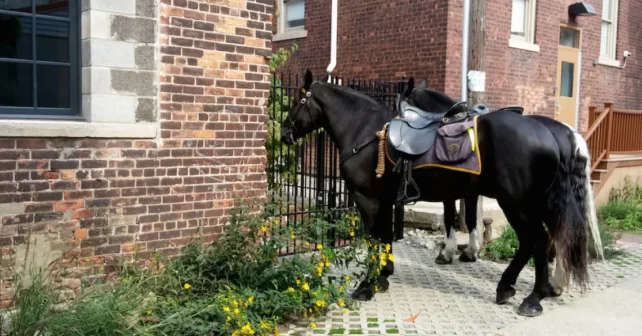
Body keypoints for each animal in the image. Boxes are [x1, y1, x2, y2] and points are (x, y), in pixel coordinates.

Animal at [280, 69, 600, 316]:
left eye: (298, 100)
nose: (284, 133)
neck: (366, 131)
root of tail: (553, 135)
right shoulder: (385, 201)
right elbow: (385, 237)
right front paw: (383, 278)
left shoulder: (367, 199)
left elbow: (374, 239)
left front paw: (367, 285)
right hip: (535, 203)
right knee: (543, 241)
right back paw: (521, 288)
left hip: (517, 204)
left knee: (536, 241)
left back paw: (532, 297)